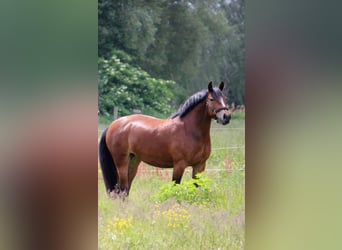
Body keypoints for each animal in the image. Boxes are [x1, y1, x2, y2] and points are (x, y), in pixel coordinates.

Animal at [99, 81, 232, 196]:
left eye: (225, 98)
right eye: (211, 99)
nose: (226, 116)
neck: (189, 130)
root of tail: (113, 124)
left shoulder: (200, 166)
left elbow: (197, 187)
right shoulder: (179, 165)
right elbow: (175, 187)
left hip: (133, 161)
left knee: (125, 189)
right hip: (121, 163)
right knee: (122, 189)